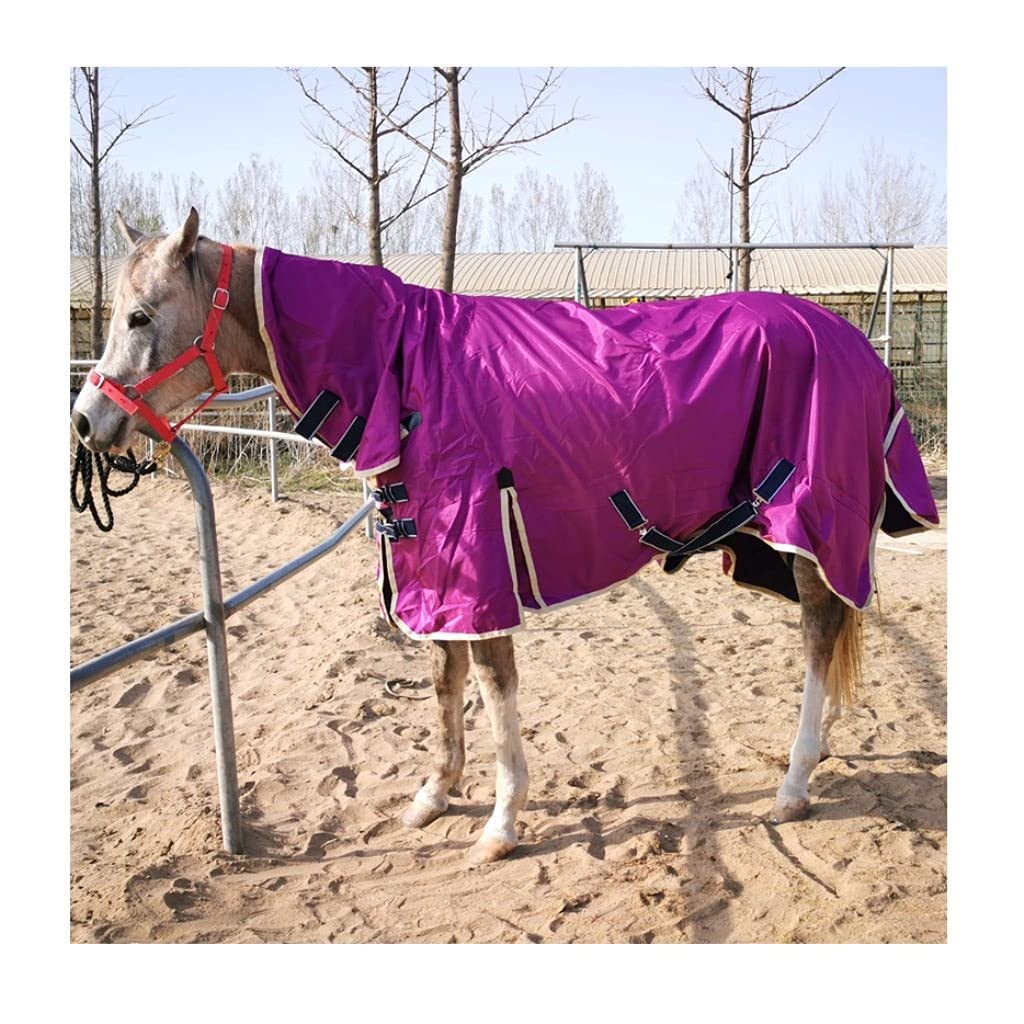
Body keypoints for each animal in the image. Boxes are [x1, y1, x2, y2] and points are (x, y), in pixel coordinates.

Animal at [71, 209, 938, 864]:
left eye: (140, 316)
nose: (88, 420)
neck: (405, 372)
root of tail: (853, 342)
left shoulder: (477, 555)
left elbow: (492, 689)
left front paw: (501, 821)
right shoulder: (432, 563)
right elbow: (443, 681)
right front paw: (435, 792)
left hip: (811, 529)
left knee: (821, 630)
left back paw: (794, 783)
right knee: (831, 630)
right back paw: (819, 750)